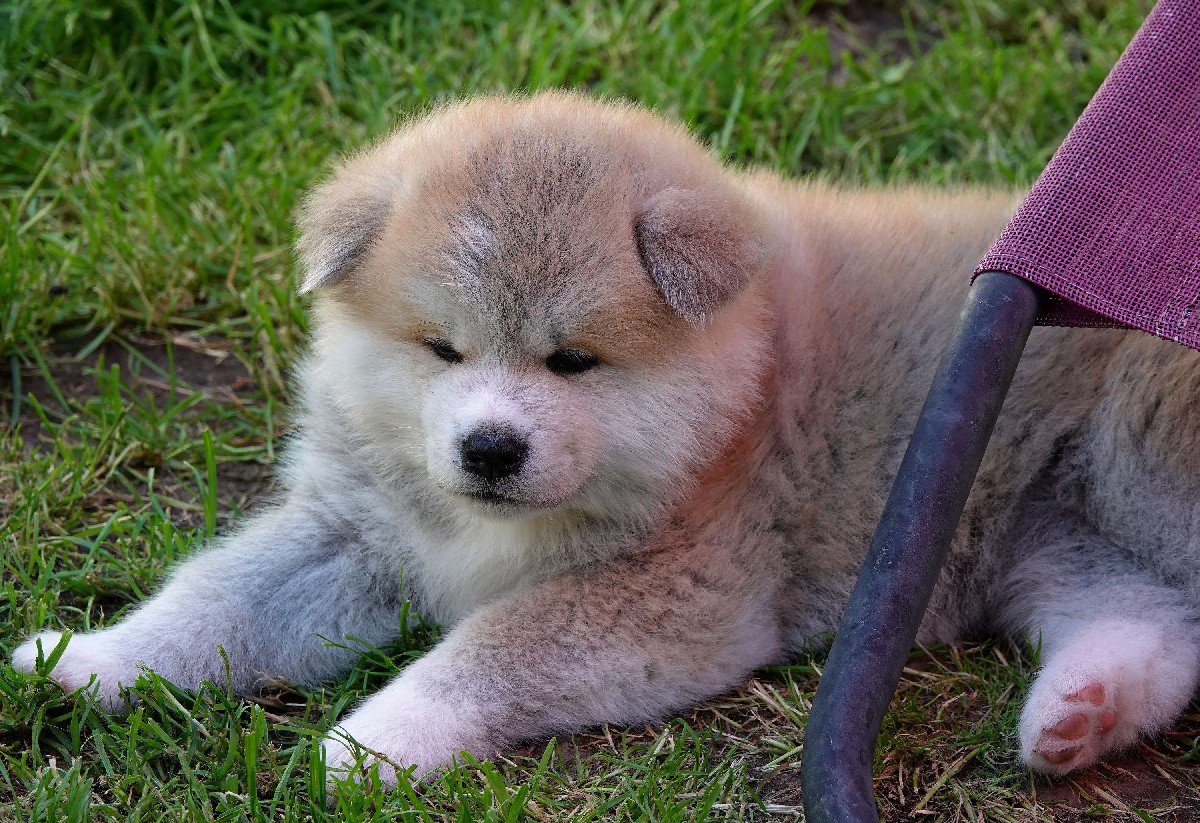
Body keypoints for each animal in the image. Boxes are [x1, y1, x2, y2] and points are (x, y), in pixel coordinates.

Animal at [14, 91, 1200, 784]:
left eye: (573, 361)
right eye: (441, 348)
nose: (489, 449)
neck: (744, 388)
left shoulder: (682, 589)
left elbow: (497, 643)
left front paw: (378, 733)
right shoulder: (353, 531)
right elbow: (214, 599)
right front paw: (92, 661)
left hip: (1137, 456)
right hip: (1047, 533)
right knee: (1153, 619)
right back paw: (1080, 715)